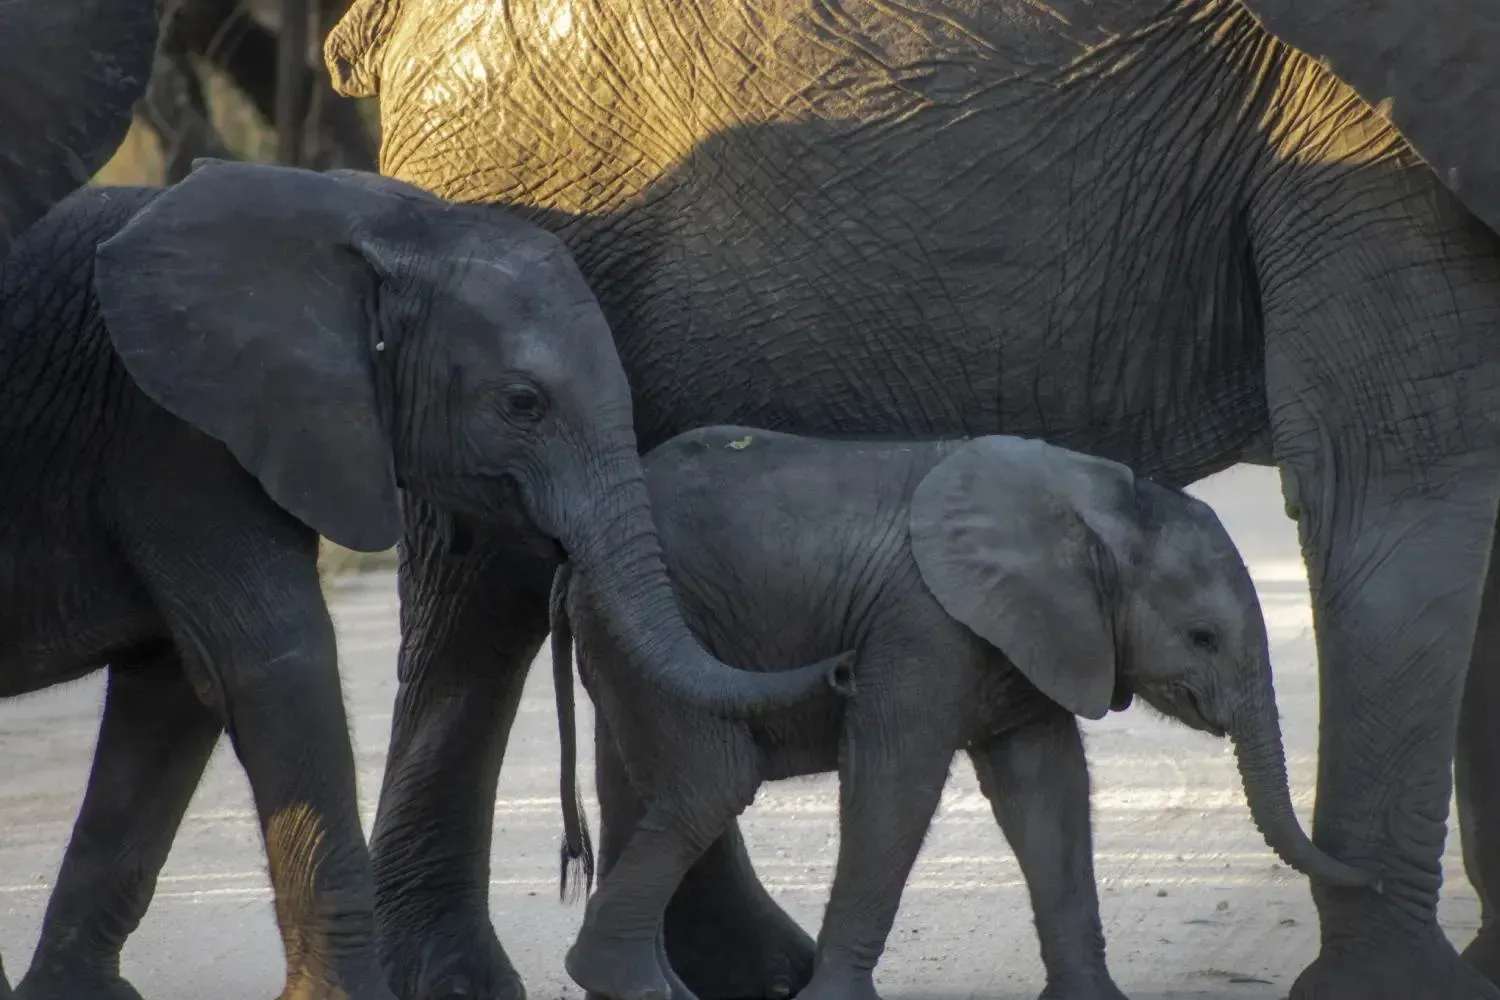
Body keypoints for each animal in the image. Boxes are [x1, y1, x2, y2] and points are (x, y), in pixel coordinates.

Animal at [0, 156, 849, 1000]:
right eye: (523, 403)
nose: (842, 670)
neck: (365, 223)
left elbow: (170, 697)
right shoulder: (174, 432)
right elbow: (272, 666)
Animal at [549, 426, 1377, 1000]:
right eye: (1201, 638)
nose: (1365, 882)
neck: (1093, 507)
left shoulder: (1035, 637)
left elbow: (1047, 791)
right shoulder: (923, 625)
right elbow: (896, 781)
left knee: (648, 790)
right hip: (656, 627)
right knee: (713, 781)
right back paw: (624, 979)